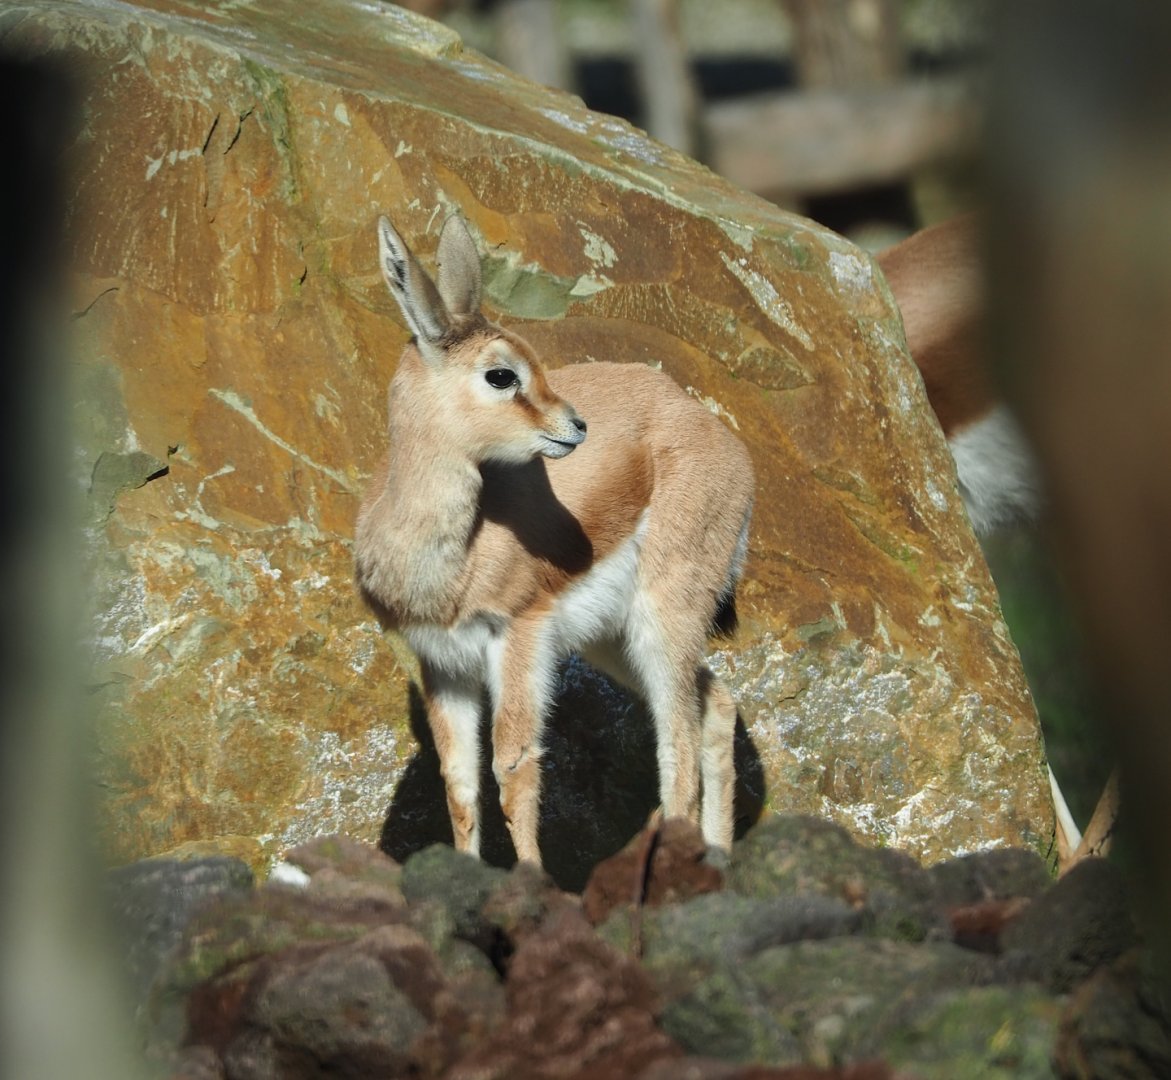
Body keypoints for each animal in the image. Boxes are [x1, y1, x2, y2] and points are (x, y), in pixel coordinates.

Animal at [354, 213, 755, 868]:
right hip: (612, 640)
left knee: (678, 753)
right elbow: (460, 784)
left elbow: (513, 770)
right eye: (500, 374)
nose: (576, 425)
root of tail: (718, 434)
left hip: (662, 622)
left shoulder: (518, 639)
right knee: (716, 703)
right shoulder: (442, 664)